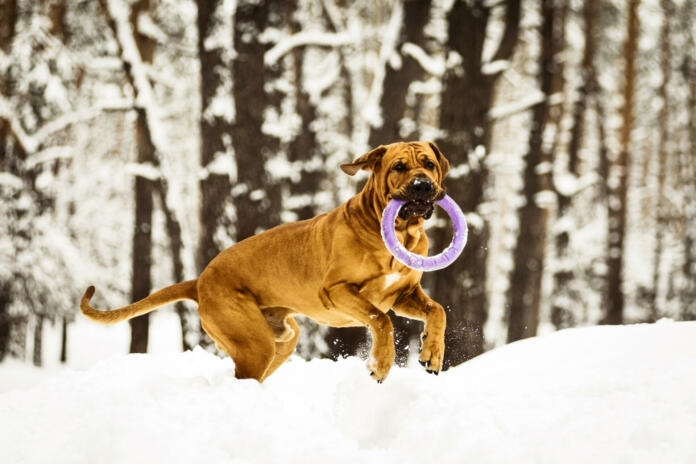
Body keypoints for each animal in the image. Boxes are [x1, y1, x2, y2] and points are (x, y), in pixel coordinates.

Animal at [81, 140, 452, 382]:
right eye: (399, 167)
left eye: (429, 164)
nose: (422, 185)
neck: (400, 233)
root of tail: (199, 281)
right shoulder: (338, 291)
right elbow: (381, 320)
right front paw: (381, 364)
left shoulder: (403, 294)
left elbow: (437, 311)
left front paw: (432, 353)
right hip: (252, 341)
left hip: (281, 341)